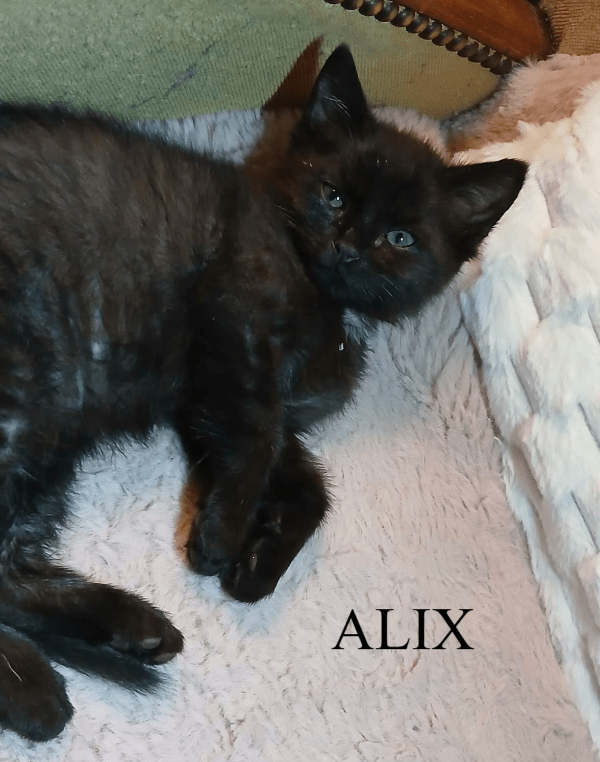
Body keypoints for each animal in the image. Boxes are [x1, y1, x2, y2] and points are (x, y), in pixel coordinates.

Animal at [0, 44, 526, 741]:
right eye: (332, 195)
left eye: (400, 239)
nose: (348, 248)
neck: (326, 303)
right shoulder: (232, 325)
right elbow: (254, 438)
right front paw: (222, 536)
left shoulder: (211, 400)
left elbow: (307, 481)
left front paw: (258, 566)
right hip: (24, 400)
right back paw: (34, 688)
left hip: (47, 437)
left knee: (5, 571)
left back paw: (127, 635)